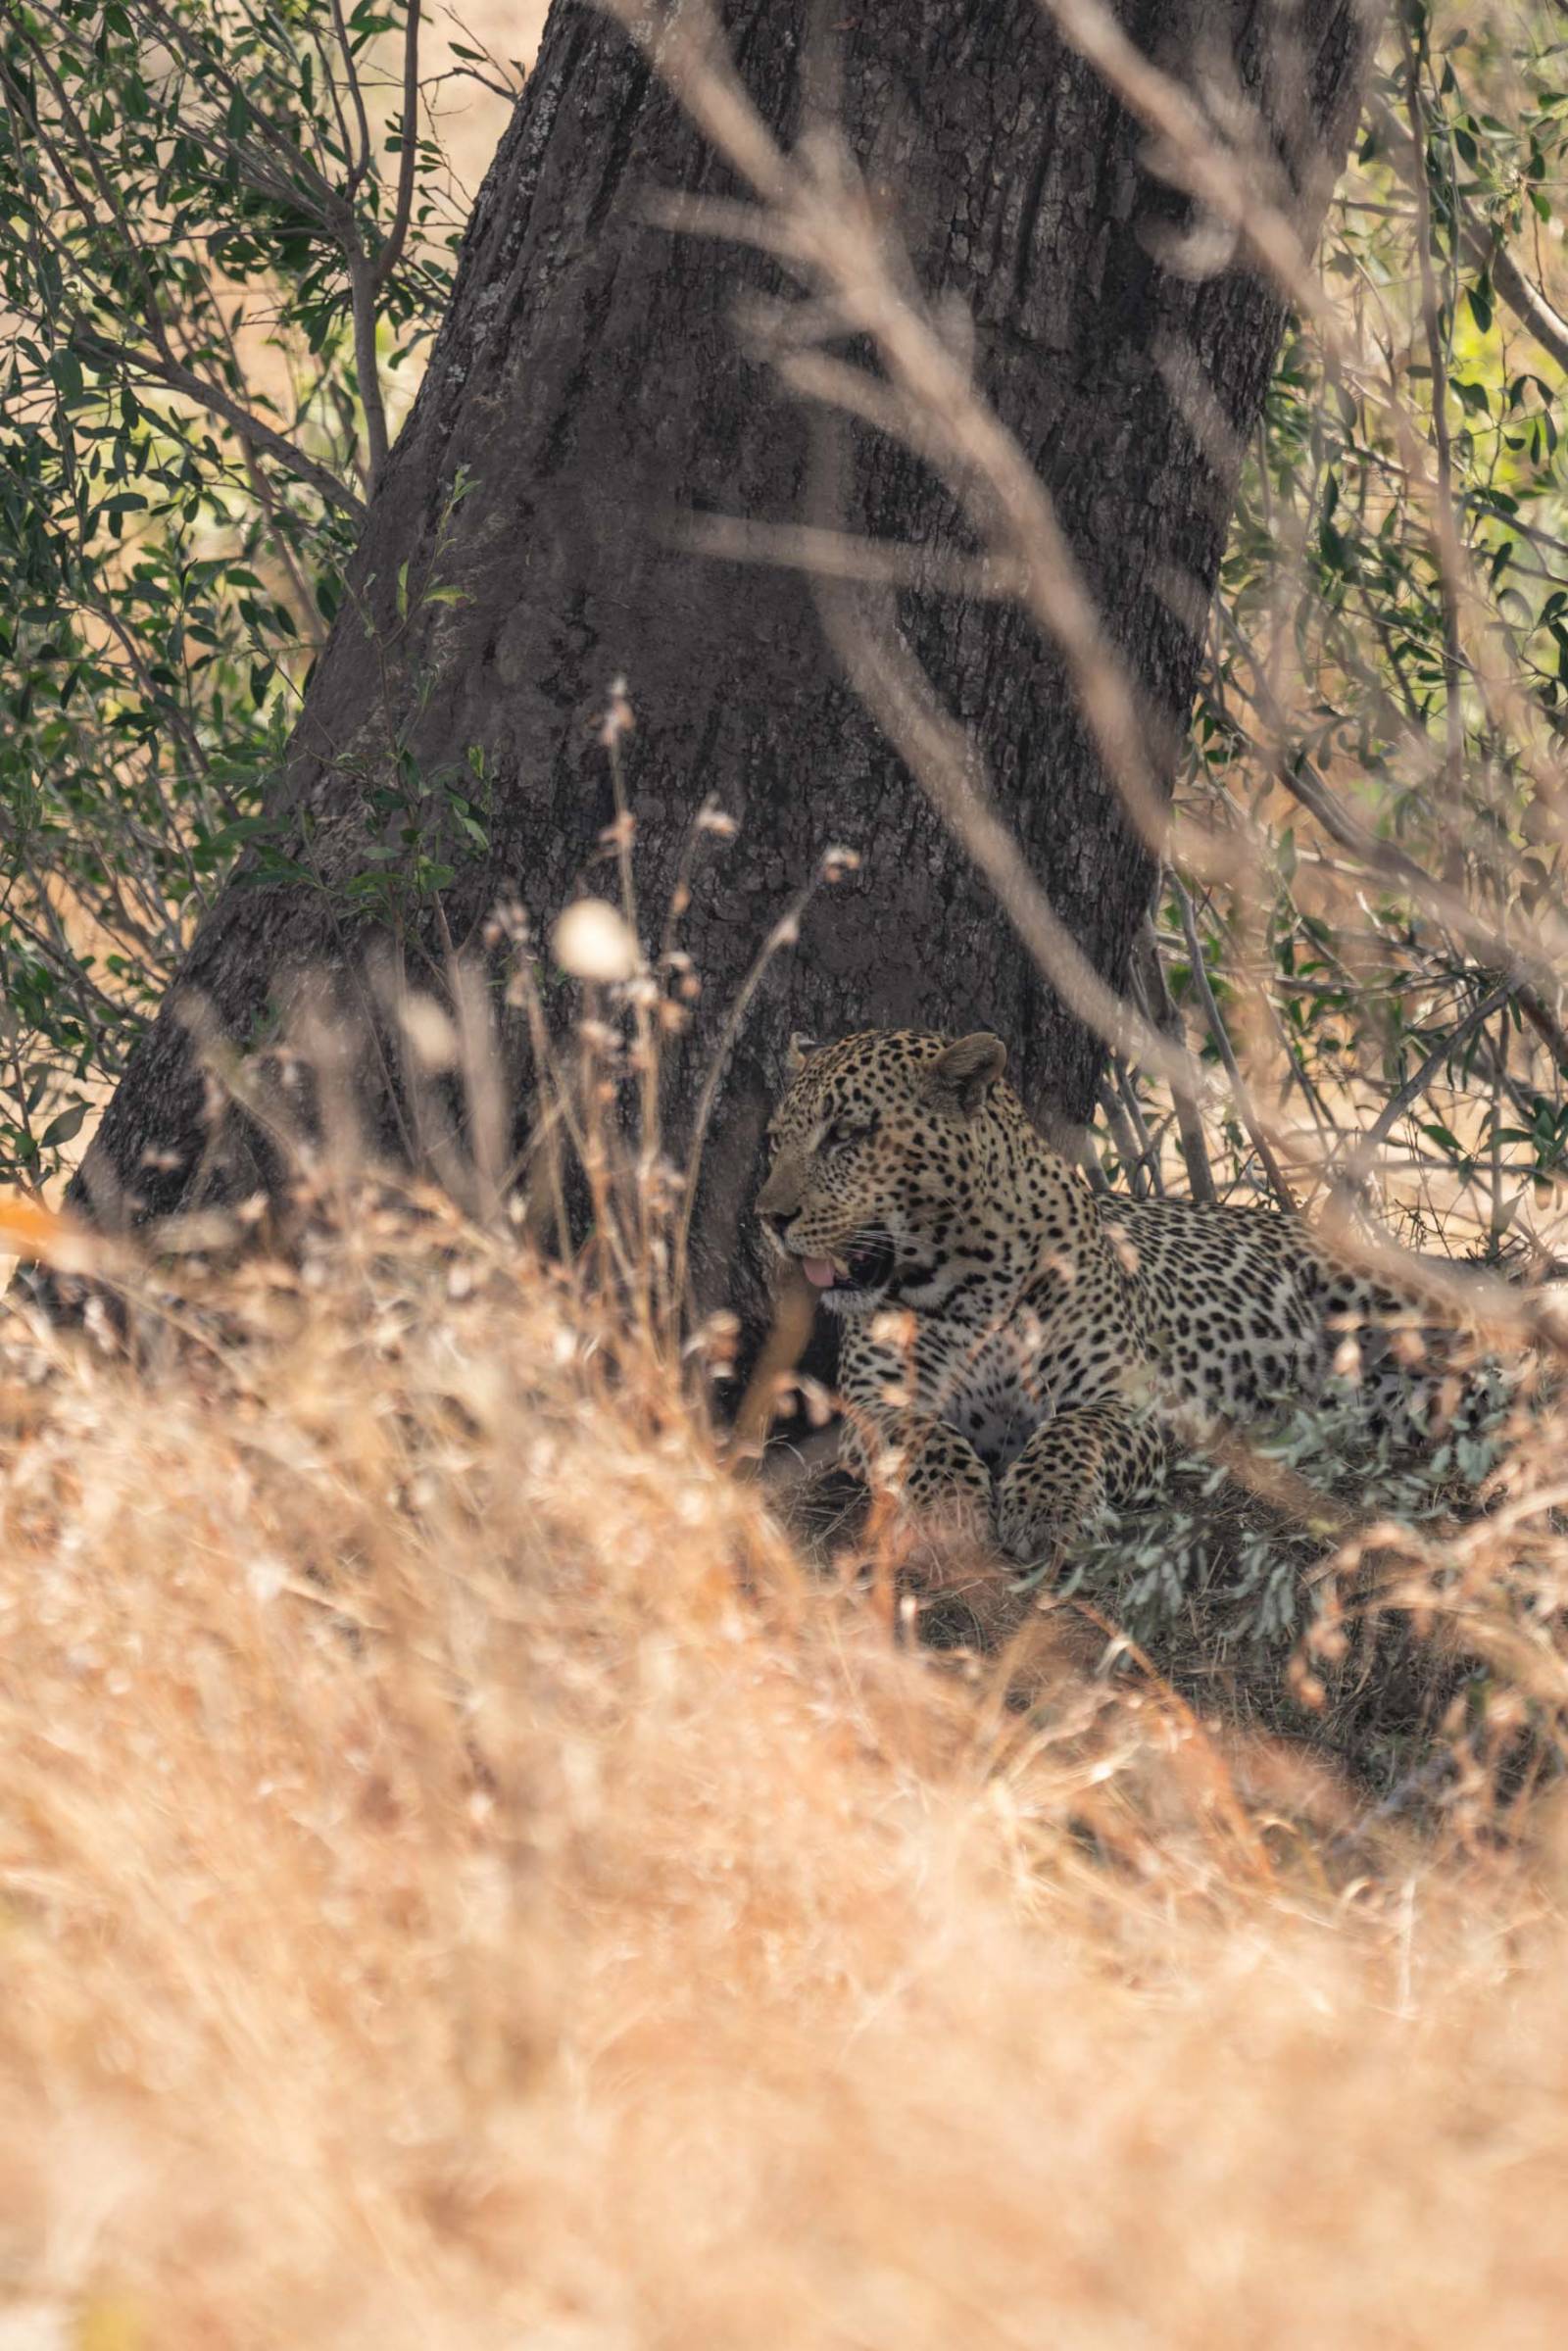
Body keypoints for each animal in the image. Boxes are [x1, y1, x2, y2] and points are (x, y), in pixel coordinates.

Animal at [752, 1024, 1486, 1560]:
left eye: (847, 1134)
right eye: (776, 1141)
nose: (769, 1217)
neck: (964, 1274)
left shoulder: (1128, 1397)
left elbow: (1070, 1432)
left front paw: (1045, 1509)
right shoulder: (873, 1403)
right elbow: (924, 1435)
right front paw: (955, 1506)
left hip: (1398, 1307)